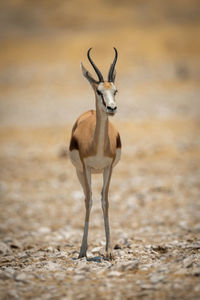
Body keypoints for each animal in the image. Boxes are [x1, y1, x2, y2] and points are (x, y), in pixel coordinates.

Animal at [69, 48, 122, 258]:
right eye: (99, 91)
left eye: (115, 91)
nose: (112, 108)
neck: (97, 145)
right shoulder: (87, 167)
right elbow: (90, 200)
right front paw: (83, 250)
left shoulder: (109, 168)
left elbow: (105, 201)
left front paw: (108, 250)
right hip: (79, 172)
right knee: (86, 198)